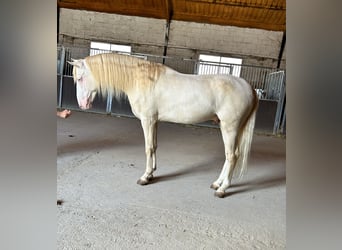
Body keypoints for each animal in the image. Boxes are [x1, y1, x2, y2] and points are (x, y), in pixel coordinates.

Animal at [68, 53, 258, 198]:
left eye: (81, 78)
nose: (82, 104)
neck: (141, 80)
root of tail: (249, 88)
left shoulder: (147, 120)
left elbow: (148, 147)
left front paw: (145, 177)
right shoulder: (154, 121)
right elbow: (155, 145)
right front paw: (152, 173)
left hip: (230, 128)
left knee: (232, 155)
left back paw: (222, 189)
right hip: (233, 129)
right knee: (231, 155)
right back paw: (217, 183)